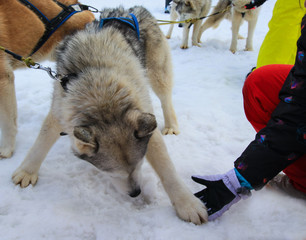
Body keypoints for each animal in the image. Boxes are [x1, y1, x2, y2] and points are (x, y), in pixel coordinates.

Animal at [12, 6, 208, 225]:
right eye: (109, 171)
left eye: (139, 164)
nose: (136, 193)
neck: (101, 93)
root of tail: (132, 9)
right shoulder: (60, 109)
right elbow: (41, 143)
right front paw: (27, 171)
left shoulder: (145, 121)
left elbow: (167, 169)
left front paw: (187, 204)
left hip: (157, 73)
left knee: (166, 98)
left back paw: (172, 125)